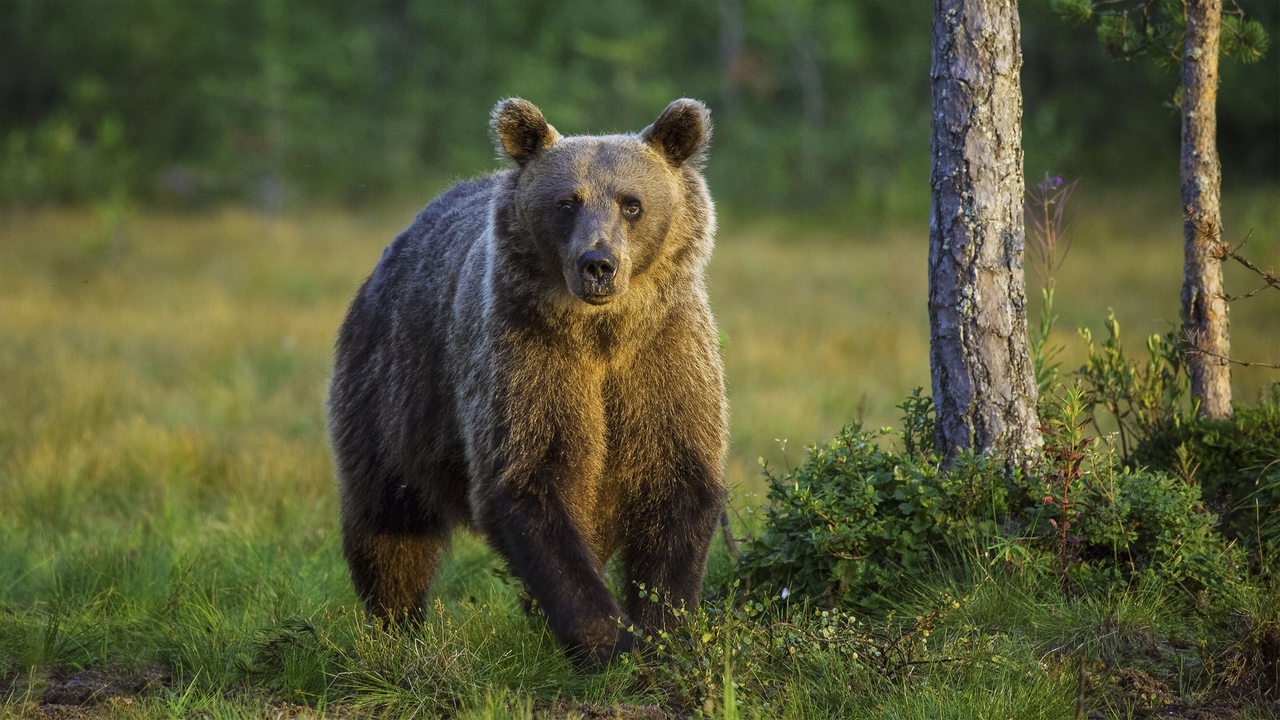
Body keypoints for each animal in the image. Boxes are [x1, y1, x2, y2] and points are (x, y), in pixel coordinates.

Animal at [327, 98, 732, 666]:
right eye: (566, 203)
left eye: (631, 204)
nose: (598, 264)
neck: (603, 334)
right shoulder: (528, 357)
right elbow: (529, 476)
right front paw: (608, 640)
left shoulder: (663, 359)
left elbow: (677, 483)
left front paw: (659, 632)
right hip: (395, 385)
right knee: (389, 521)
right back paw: (396, 626)